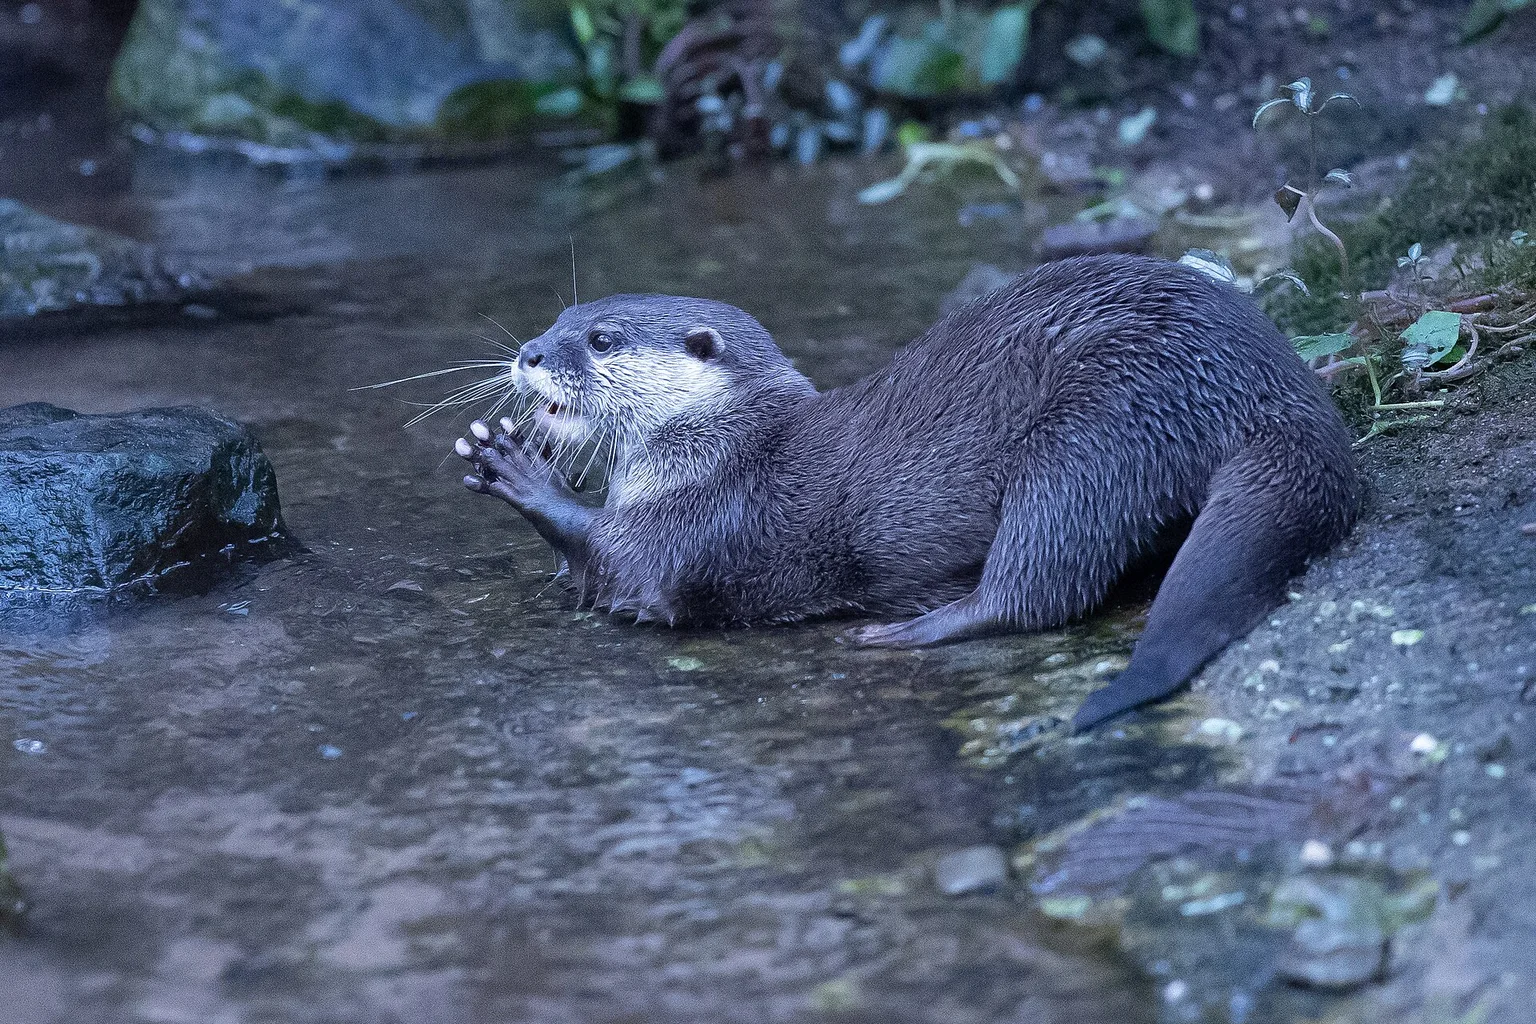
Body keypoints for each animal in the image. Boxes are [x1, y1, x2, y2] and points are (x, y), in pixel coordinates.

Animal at [452, 254, 1360, 730]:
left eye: (601, 339)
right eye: (561, 317)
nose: (531, 353)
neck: (721, 448)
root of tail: (1267, 385)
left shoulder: (719, 516)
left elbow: (629, 569)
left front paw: (522, 472)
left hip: (1097, 430)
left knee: (1040, 584)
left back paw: (913, 629)